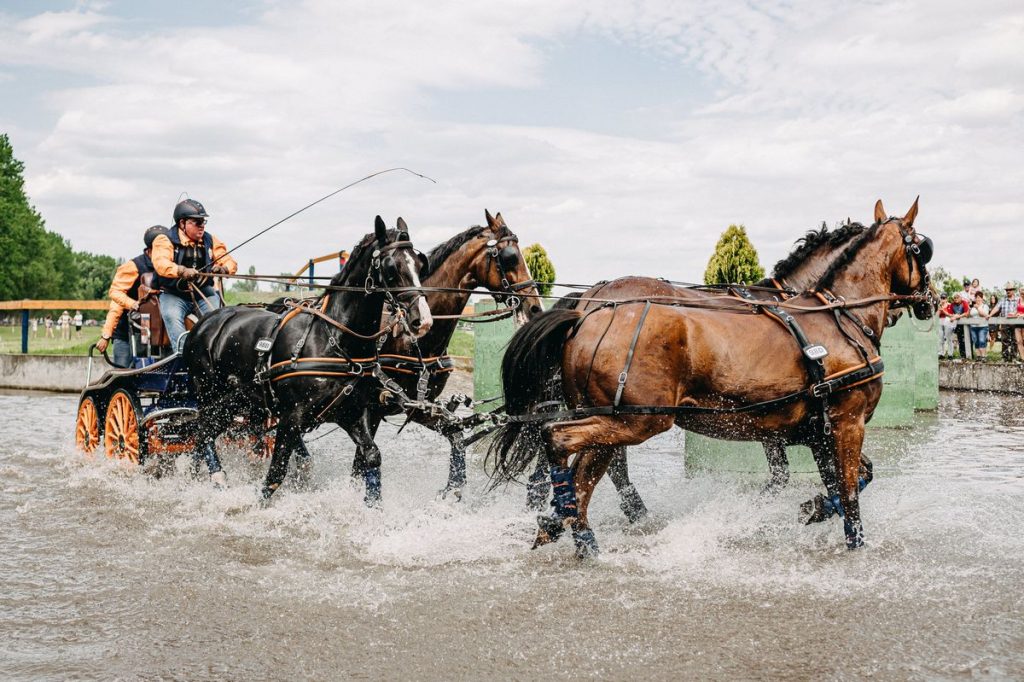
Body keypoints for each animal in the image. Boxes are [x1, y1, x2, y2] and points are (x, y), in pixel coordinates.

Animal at [184, 215, 432, 501]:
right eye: (392, 266)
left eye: (420, 263)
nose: (423, 319)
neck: (332, 338)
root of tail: (203, 323)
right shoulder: (291, 419)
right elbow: (275, 475)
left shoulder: (351, 412)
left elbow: (371, 456)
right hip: (210, 396)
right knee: (202, 430)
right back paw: (216, 476)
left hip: (240, 403)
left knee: (204, 435)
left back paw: (198, 477)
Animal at [348, 208, 544, 499]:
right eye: (510, 256)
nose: (535, 308)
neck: (412, 339)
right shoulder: (371, 407)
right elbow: (360, 463)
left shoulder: (420, 406)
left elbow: (455, 436)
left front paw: (453, 489)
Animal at [491, 196, 933, 552]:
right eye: (924, 250)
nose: (930, 299)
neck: (838, 313)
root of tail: (588, 312)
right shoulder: (845, 422)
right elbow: (847, 492)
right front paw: (849, 539)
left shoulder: (813, 430)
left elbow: (844, 483)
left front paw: (813, 508)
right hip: (638, 419)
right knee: (560, 439)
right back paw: (576, 520)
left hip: (609, 416)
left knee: (584, 465)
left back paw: (567, 522)